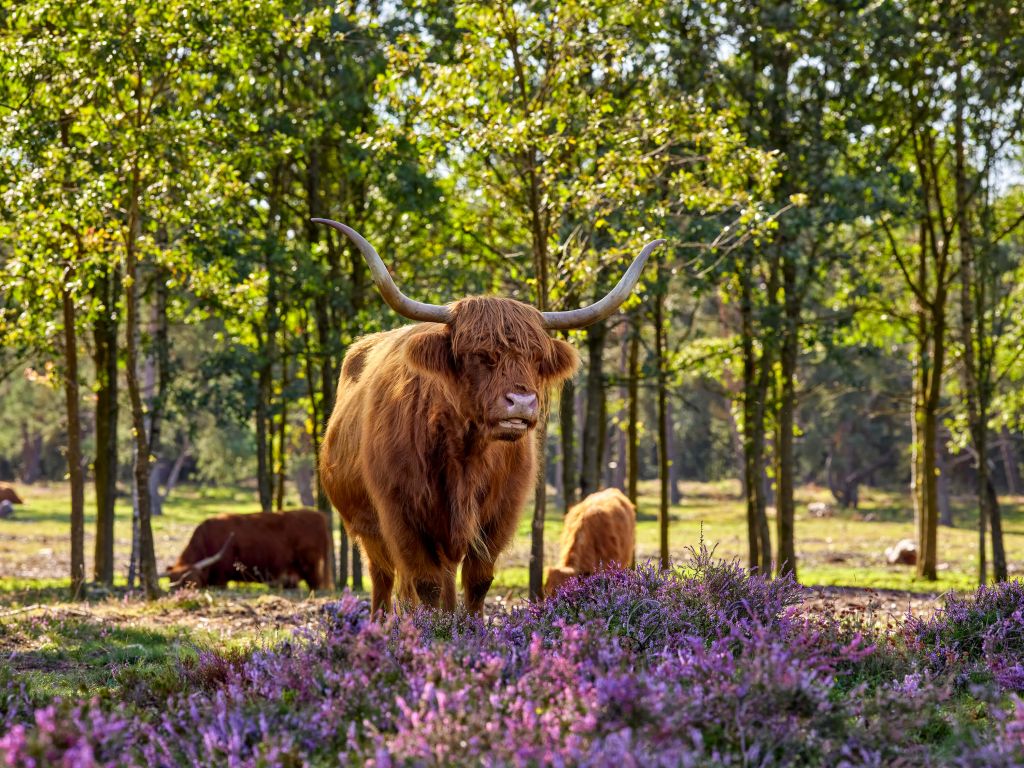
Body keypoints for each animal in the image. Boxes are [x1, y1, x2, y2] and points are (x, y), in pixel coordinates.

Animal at [313, 219, 663, 618]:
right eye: (479, 355)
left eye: (537, 358)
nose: (522, 402)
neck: (465, 452)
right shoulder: (402, 516)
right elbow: (425, 584)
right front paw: (435, 630)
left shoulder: (498, 516)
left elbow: (478, 582)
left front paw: (469, 628)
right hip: (367, 527)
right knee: (383, 579)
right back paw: (380, 624)